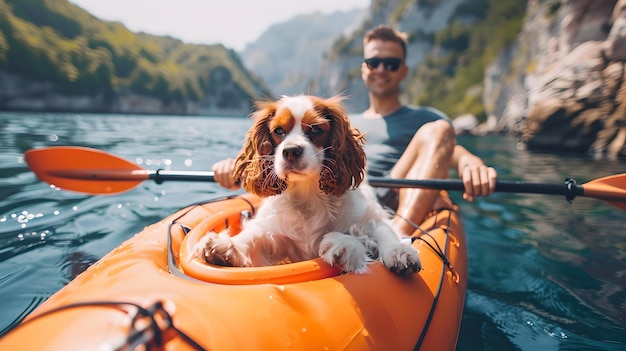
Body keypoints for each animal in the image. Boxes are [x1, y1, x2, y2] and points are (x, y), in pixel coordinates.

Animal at [193, 95, 422, 276]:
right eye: (278, 131)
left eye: (316, 129)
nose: (291, 151)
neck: (307, 192)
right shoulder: (274, 233)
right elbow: (253, 236)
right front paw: (226, 246)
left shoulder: (369, 216)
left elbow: (383, 231)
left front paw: (398, 251)